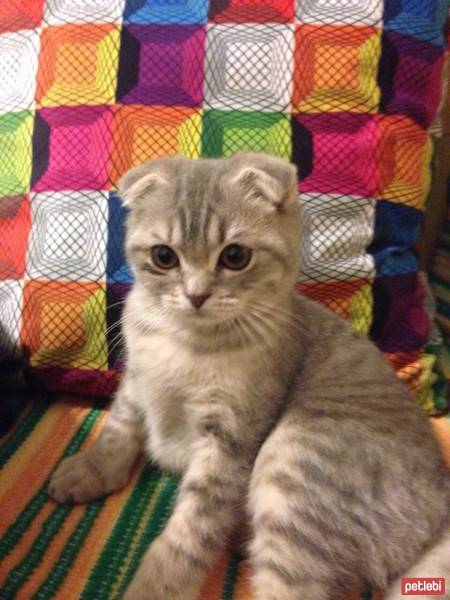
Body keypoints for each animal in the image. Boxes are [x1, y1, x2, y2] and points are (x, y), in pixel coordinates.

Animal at [49, 154, 450, 600]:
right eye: (164, 256)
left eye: (235, 255)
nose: (196, 295)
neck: (185, 341)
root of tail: (438, 522)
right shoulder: (136, 382)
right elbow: (118, 430)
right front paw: (92, 468)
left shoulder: (230, 439)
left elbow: (191, 527)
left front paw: (158, 585)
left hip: (296, 461)